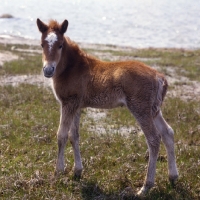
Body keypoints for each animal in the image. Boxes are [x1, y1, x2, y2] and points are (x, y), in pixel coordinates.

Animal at [37, 18, 178, 195]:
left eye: (60, 45)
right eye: (42, 44)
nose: (48, 70)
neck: (73, 68)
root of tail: (159, 77)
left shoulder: (68, 103)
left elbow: (61, 135)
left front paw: (58, 172)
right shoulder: (77, 106)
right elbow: (74, 136)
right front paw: (77, 172)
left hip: (140, 108)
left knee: (153, 139)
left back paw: (145, 187)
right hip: (154, 110)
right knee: (168, 133)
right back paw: (173, 177)